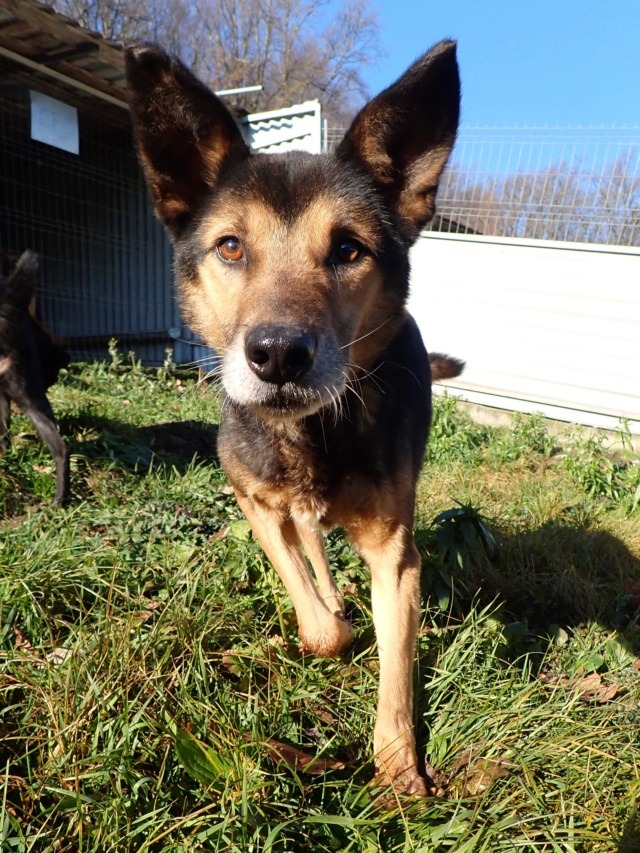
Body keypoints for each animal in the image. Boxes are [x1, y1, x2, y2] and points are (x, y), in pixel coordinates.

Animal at [125, 39, 462, 796]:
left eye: (348, 249)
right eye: (230, 246)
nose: (278, 354)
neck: (309, 436)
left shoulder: (397, 555)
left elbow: (395, 672)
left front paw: (399, 767)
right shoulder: (252, 500)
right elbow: (320, 623)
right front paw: (330, 625)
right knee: (309, 545)